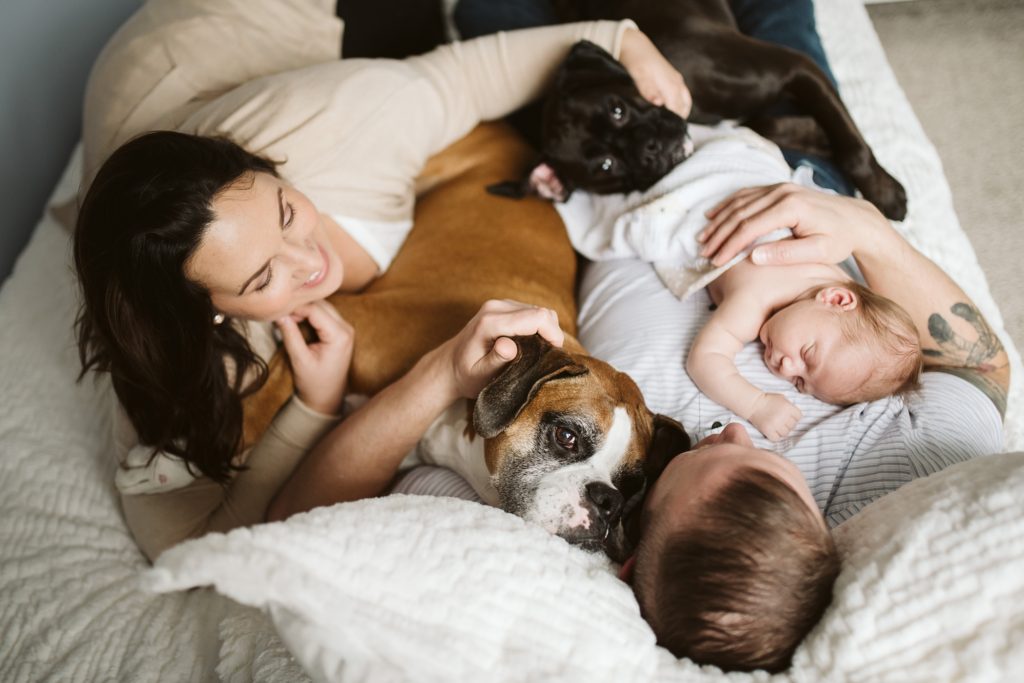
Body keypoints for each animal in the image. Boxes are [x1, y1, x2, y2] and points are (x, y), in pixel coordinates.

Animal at [491, 0, 909, 222]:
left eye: (617, 110)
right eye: (606, 166)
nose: (649, 149)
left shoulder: (795, 66)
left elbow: (852, 147)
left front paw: (884, 192)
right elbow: (773, 123)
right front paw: (821, 137)